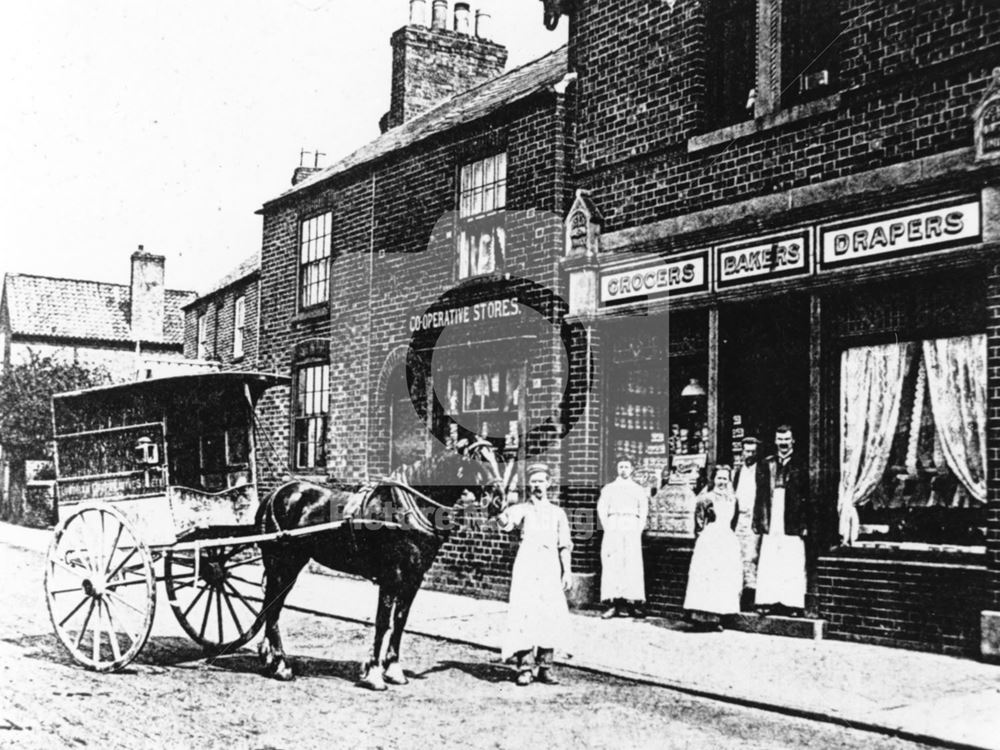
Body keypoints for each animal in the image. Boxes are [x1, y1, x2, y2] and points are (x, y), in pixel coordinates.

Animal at [254, 440, 512, 692]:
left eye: (499, 458)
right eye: (478, 460)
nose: (499, 501)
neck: (409, 508)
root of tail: (275, 495)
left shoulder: (414, 577)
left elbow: (400, 620)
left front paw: (394, 669)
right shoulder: (392, 575)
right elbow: (382, 621)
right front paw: (374, 674)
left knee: (272, 605)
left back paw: (269, 657)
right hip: (284, 564)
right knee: (273, 609)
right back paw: (281, 665)